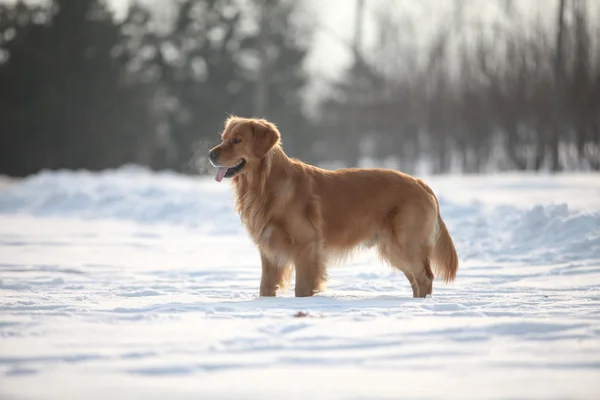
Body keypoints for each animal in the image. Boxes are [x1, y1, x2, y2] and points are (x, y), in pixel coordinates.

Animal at [209, 115, 458, 296]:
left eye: (237, 140)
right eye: (223, 137)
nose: (210, 154)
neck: (265, 185)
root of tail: (421, 183)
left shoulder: (307, 247)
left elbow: (302, 288)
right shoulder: (269, 251)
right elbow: (265, 288)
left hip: (405, 244)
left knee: (425, 277)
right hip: (392, 248)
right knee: (417, 280)